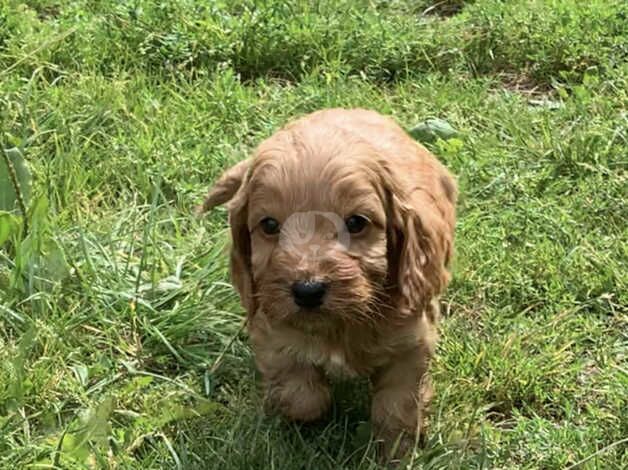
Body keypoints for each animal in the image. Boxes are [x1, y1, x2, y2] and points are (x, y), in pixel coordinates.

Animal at [200, 108, 456, 458]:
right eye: (269, 225)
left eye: (356, 223)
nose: (307, 291)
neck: (340, 325)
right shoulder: (271, 330)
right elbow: (303, 397)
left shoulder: (412, 344)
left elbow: (397, 405)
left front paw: (396, 451)